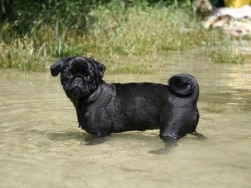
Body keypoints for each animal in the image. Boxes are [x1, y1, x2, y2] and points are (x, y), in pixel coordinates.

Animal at [50, 55, 205, 148]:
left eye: (88, 76)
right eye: (68, 73)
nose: (78, 78)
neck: (91, 94)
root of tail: (191, 98)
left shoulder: (98, 133)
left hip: (170, 131)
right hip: (189, 128)